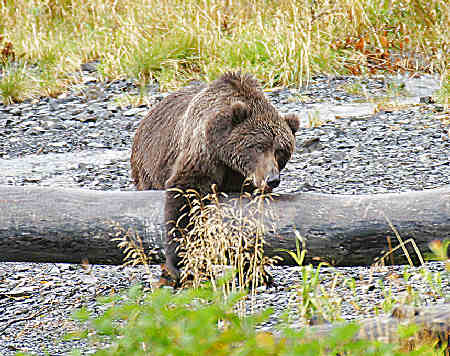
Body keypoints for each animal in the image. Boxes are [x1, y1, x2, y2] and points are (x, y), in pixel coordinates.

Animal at [130, 71, 298, 284]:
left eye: (281, 151)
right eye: (259, 146)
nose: (272, 179)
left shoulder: (241, 178)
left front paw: (256, 272)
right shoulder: (203, 153)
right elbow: (185, 195)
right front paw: (180, 260)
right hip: (148, 168)